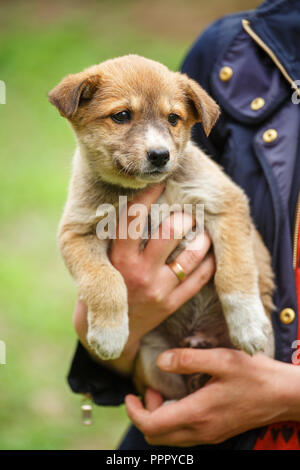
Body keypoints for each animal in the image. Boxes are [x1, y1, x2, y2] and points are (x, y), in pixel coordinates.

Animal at [48, 55, 274, 400]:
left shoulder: (225, 203)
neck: (141, 191)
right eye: (122, 116)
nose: (159, 155)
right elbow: (105, 280)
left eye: (173, 118)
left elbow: (235, 271)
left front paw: (248, 325)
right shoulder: (77, 232)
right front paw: (110, 333)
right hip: (153, 364)